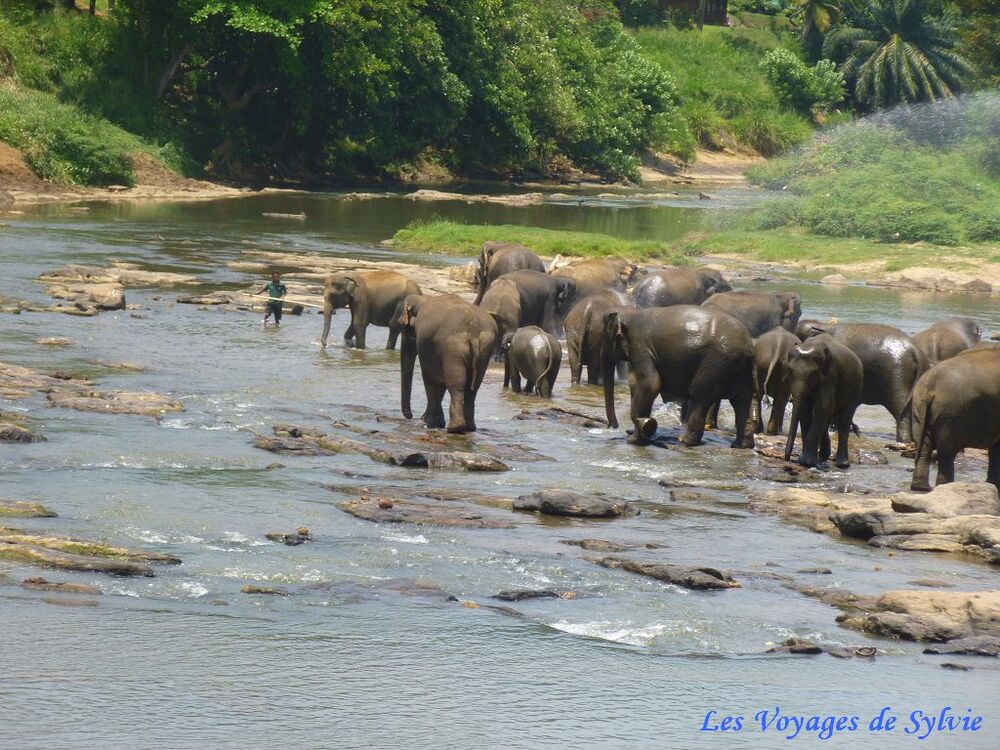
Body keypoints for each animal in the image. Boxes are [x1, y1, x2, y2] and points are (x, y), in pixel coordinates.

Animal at [394, 294, 496, 434]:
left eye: (404, 327)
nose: (410, 415)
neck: (424, 298)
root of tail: (473, 328)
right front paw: (429, 421)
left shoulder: (425, 345)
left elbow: (430, 378)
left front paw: (429, 423)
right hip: (485, 350)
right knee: (473, 388)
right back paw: (469, 428)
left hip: (452, 349)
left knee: (456, 384)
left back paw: (455, 428)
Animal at [600, 306, 756, 450]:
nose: (613, 426)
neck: (630, 313)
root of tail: (748, 348)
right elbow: (639, 384)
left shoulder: (641, 348)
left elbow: (649, 385)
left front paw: (636, 437)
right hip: (744, 372)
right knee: (742, 402)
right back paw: (741, 446)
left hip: (716, 364)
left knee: (700, 396)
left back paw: (685, 441)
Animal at [784, 334, 864, 470]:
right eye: (789, 370)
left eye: (813, 373)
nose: (787, 458)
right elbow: (806, 410)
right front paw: (806, 460)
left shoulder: (831, 375)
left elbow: (824, 406)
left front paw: (806, 462)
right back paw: (823, 456)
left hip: (856, 388)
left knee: (844, 420)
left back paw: (842, 464)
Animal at [912, 348, 996, 494]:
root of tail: (931, 384)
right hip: (951, 412)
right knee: (947, 452)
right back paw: (944, 485)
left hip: (919, 407)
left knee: (924, 447)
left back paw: (922, 487)